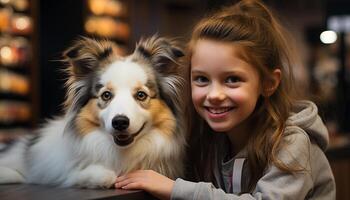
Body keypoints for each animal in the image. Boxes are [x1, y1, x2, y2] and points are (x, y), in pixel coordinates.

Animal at [0, 36, 186, 189]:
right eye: (106, 95)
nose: (119, 122)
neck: (120, 151)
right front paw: (99, 175)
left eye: (141, 95)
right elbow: (100, 175)